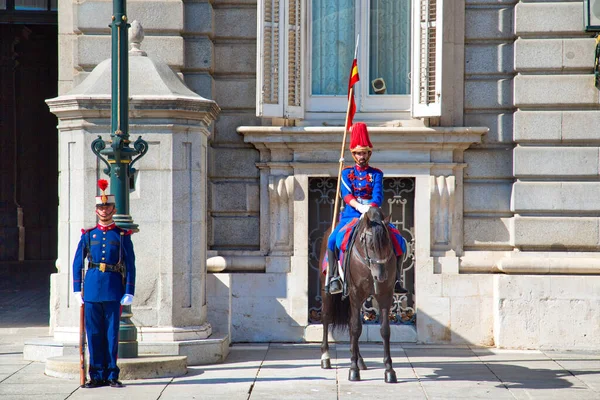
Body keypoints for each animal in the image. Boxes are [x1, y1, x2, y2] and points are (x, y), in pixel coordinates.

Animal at [318, 208, 398, 382]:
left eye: (388, 243)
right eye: (370, 244)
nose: (380, 276)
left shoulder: (385, 295)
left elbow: (385, 330)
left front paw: (389, 370)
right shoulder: (356, 292)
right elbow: (355, 328)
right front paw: (353, 370)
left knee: (350, 322)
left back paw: (360, 359)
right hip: (327, 291)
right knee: (327, 317)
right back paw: (326, 357)